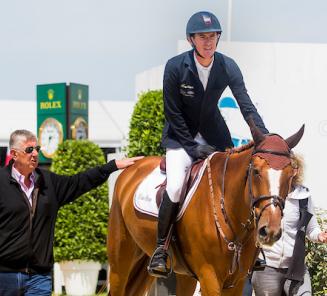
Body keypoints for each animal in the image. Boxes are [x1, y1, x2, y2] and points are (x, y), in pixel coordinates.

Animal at [109, 121, 306, 294]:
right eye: (256, 171)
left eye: (291, 175)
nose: (270, 231)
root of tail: (133, 167)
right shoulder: (209, 276)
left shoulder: (237, 281)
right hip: (121, 258)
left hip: (174, 270)